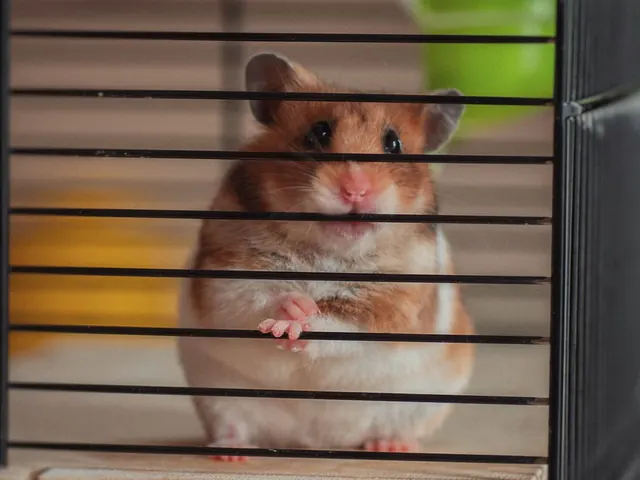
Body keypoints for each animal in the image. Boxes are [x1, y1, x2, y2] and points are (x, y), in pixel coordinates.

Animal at [177, 52, 474, 462]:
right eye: (318, 133)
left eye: (394, 144)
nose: (355, 191)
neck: (327, 251)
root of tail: (313, 442)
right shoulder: (226, 272)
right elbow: (255, 298)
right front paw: (288, 314)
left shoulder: (394, 301)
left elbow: (340, 321)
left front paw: (297, 324)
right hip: (219, 399)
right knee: (233, 426)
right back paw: (230, 453)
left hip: (421, 402)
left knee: (393, 428)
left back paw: (391, 445)